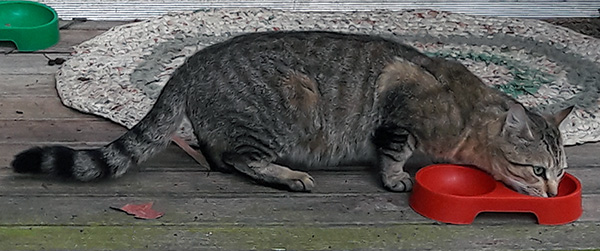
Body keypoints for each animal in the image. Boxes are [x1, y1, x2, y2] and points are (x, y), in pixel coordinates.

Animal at [10, 30, 572, 197]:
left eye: (559, 172)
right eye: (537, 170)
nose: (551, 192)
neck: (468, 114)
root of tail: (192, 62)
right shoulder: (399, 107)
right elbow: (393, 151)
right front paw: (395, 178)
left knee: (219, 156)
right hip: (286, 110)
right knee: (240, 159)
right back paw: (288, 175)